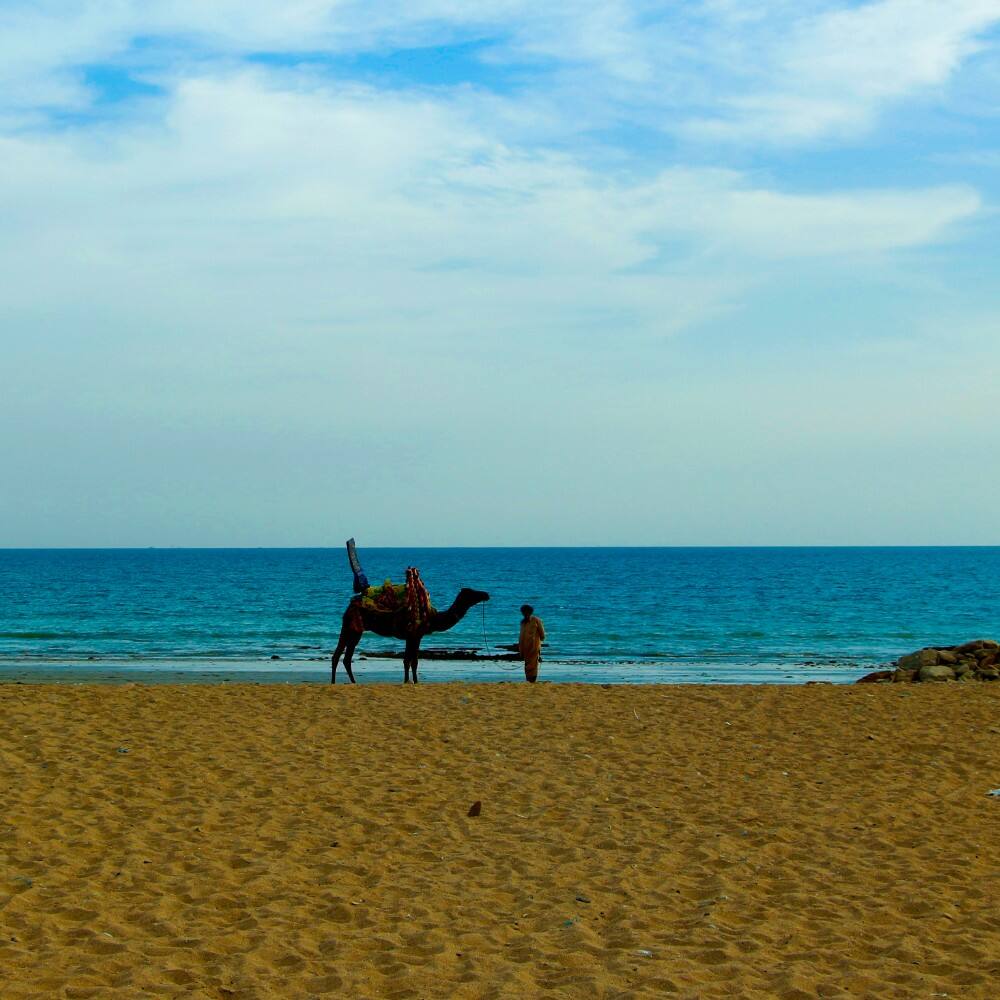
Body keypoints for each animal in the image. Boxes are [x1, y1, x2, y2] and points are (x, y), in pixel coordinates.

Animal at [331, 586, 490, 684]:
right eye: (471, 592)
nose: (486, 594)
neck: (433, 617)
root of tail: (350, 606)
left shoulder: (413, 637)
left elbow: (410, 660)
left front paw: (409, 681)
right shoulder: (414, 635)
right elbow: (411, 661)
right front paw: (412, 681)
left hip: (352, 630)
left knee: (342, 656)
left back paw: (347, 682)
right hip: (353, 629)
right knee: (341, 655)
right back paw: (340, 681)